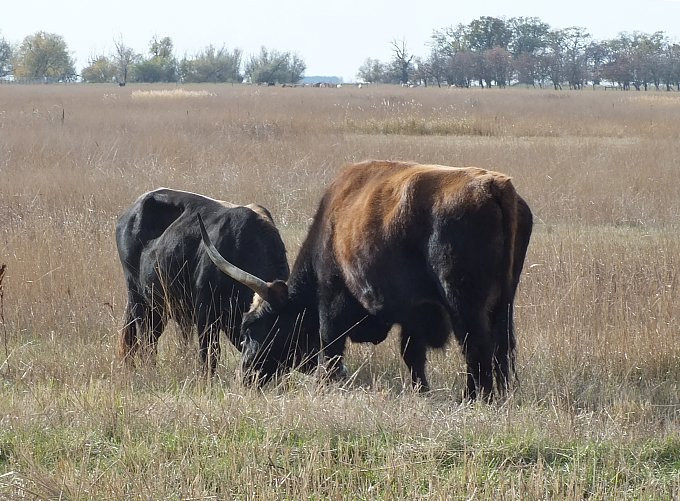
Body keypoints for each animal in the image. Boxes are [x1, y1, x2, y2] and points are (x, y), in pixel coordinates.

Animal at [197, 160, 532, 398]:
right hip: (504, 304)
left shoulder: (333, 297)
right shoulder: (414, 314)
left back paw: (475, 397)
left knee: (477, 348)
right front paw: (420, 392)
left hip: (464, 304)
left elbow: (331, 345)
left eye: (252, 326)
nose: (246, 375)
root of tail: (494, 186)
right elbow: (413, 356)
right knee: (501, 351)